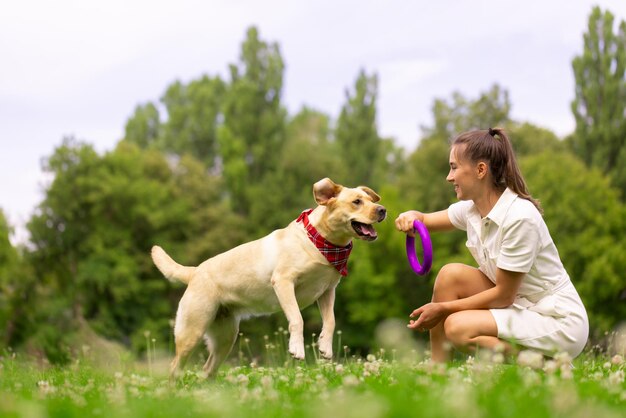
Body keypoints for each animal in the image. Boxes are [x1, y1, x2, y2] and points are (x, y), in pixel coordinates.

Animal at [152, 178, 386, 378]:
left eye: (370, 200)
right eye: (357, 201)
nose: (383, 210)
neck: (321, 241)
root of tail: (194, 271)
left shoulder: (327, 291)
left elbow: (330, 321)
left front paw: (325, 347)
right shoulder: (284, 282)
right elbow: (297, 319)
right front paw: (296, 349)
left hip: (226, 337)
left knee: (207, 369)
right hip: (192, 329)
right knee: (175, 366)